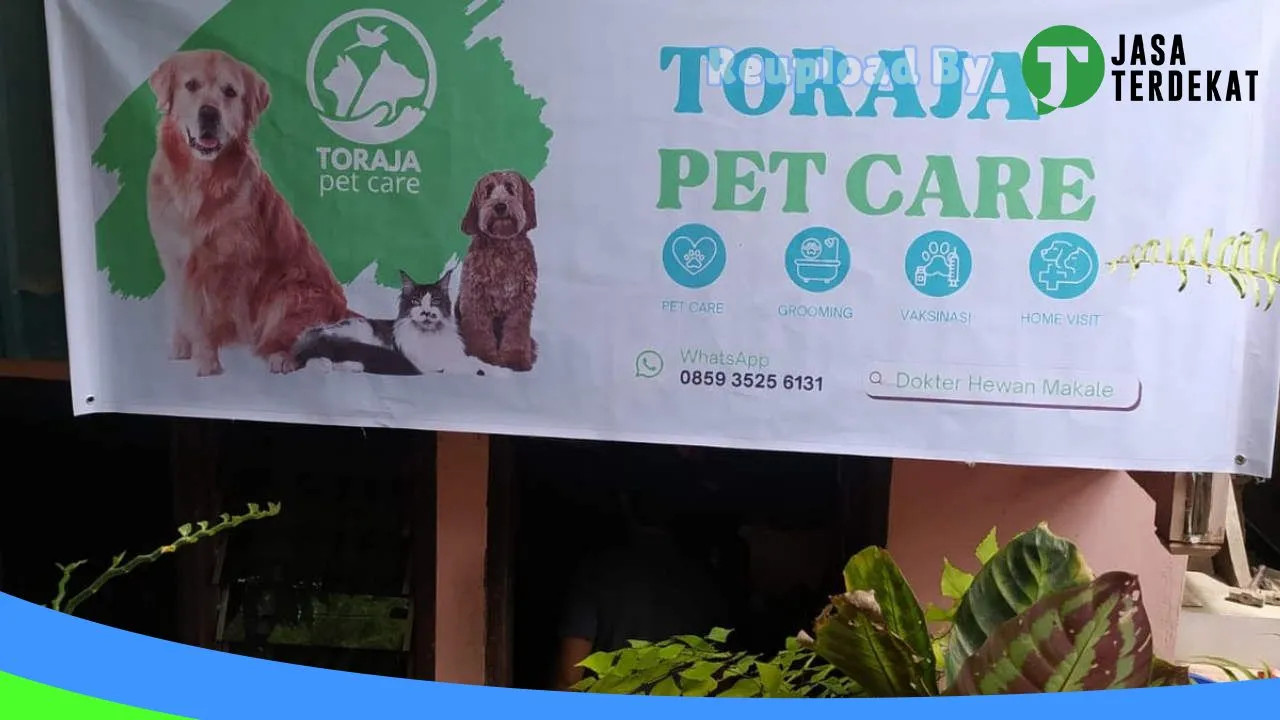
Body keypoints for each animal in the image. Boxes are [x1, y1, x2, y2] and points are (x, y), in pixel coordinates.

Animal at [146, 49, 352, 376]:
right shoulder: (175, 257)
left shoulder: (232, 264)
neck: (199, 181)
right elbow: (182, 308)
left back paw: (279, 357)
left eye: (229, 92)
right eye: (191, 85)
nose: (209, 113)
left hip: (290, 292)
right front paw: (181, 347)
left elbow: (209, 319)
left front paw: (208, 362)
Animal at [292, 268, 486, 376]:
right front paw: (474, 370)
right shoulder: (424, 364)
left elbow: (470, 361)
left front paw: (485, 369)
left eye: (435, 301)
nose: (426, 312)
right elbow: (453, 366)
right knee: (315, 362)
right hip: (355, 335)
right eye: (416, 301)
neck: (430, 336)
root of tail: (313, 332)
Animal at [457, 170, 539, 372]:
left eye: (510, 188)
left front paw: (515, 359)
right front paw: (483, 357)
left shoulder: (521, 301)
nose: (500, 205)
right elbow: (479, 331)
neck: (502, 245)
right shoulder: (475, 298)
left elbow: (516, 332)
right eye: (488, 190)